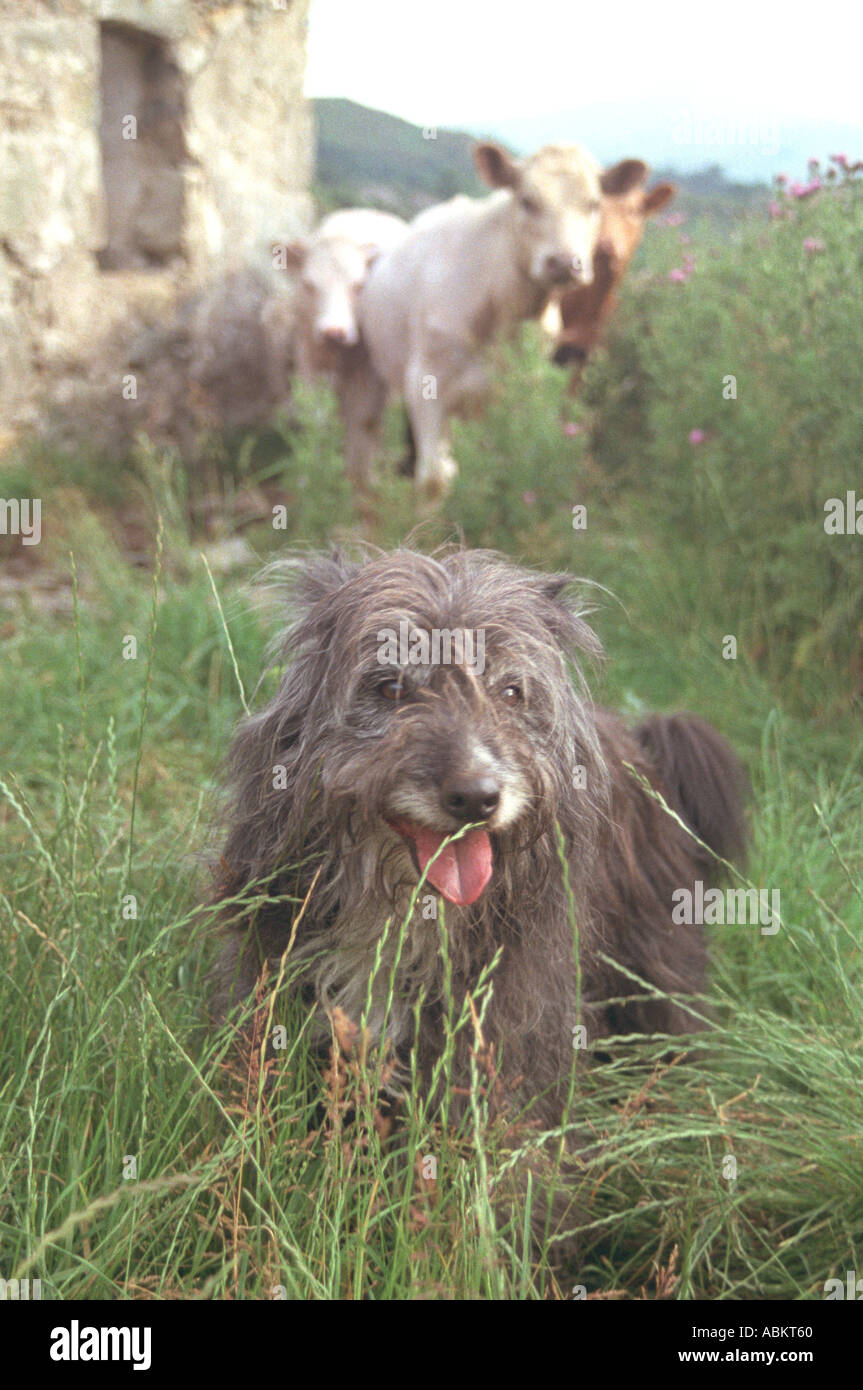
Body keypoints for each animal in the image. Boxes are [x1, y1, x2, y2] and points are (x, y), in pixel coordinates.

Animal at [351, 141, 644, 497]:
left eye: (594, 204)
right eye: (527, 200)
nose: (564, 263)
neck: (502, 308)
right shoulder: (426, 385)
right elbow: (433, 480)